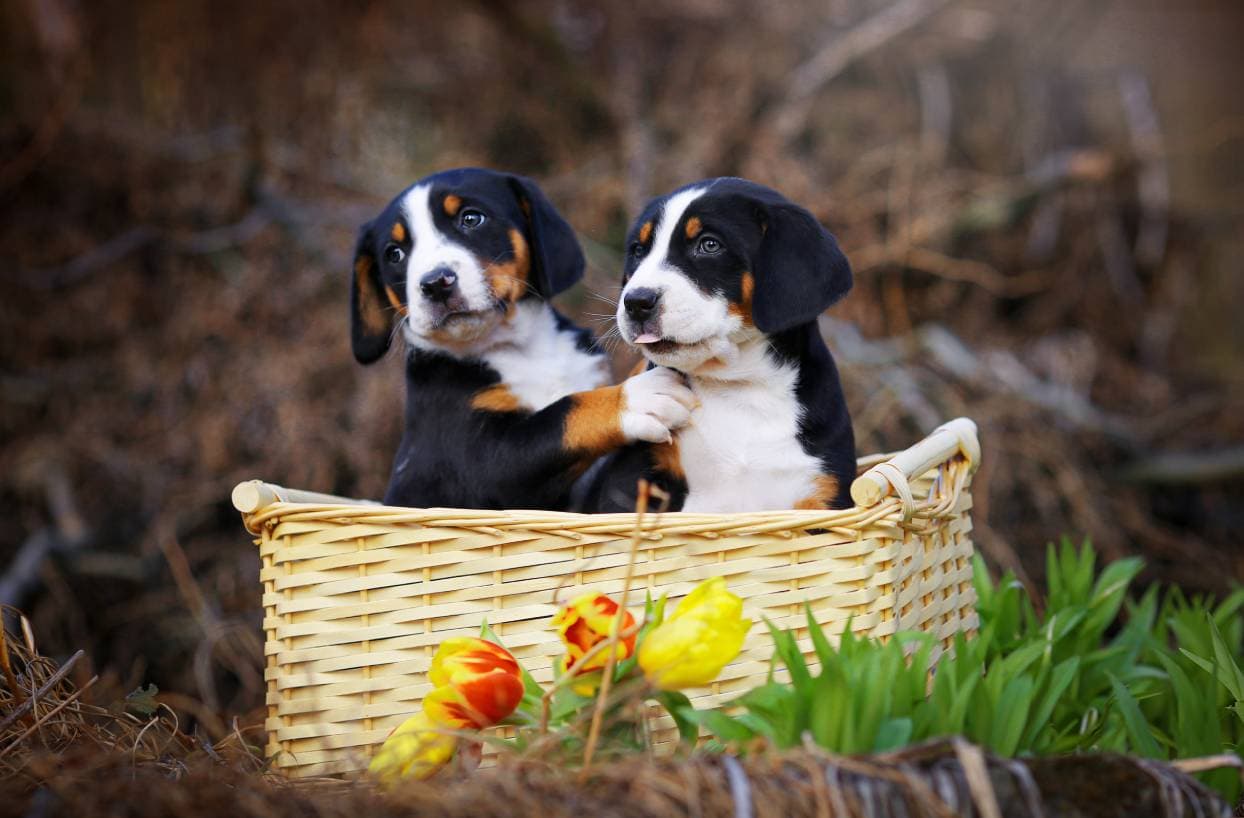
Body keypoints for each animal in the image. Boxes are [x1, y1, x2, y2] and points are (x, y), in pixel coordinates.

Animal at [355, 166, 696, 507]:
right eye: (394, 254)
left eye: (471, 218)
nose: (436, 283)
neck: (522, 346)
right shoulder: (479, 458)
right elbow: (562, 416)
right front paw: (634, 397)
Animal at [582, 176, 855, 509]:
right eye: (637, 250)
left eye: (709, 245)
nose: (636, 302)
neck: (739, 388)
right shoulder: (633, 480)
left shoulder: (824, 493)